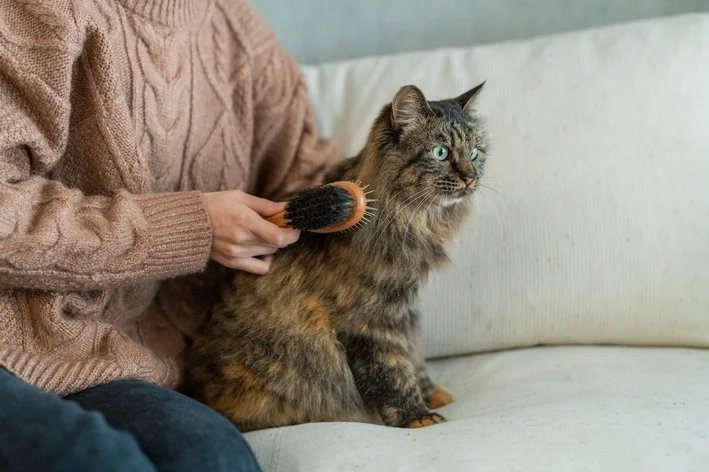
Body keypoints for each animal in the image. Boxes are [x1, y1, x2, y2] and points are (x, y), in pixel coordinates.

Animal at [185, 82, 490, 432]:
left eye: (475, 152)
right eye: (440, 152)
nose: (471, 177)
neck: (412, 219)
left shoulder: (405, 309)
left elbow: (414, 354)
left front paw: (430, 393)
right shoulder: (372, 323)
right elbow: (394, 372)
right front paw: (418, 417)